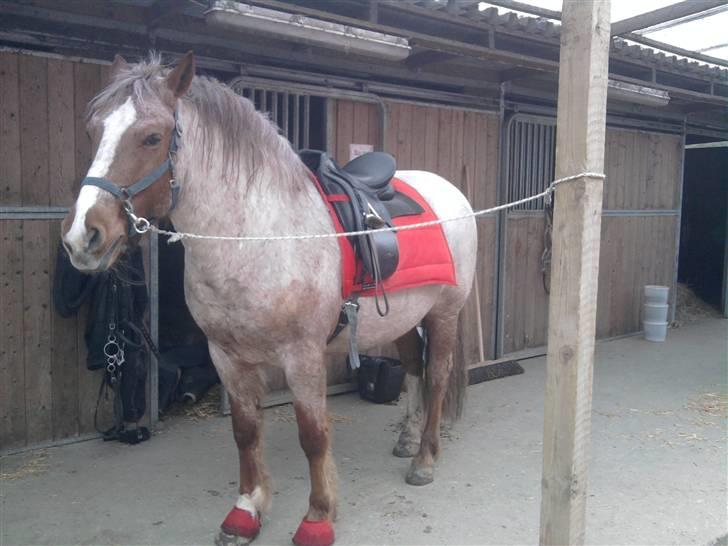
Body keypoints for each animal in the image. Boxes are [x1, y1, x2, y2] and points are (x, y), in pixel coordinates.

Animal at [60, 52, 477, 546]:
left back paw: (425, 459)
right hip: (405, 316)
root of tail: (450, 191)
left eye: (152, 137)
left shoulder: (303, 356)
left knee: (437, 376)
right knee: (413, 367)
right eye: (92, 131)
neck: (257, 236)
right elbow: (245, 431)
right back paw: (408, 441)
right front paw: (245, 511)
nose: (82, 237)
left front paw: (317, 518)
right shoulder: (226, 356)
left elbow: (313, 435)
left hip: (444, 313)